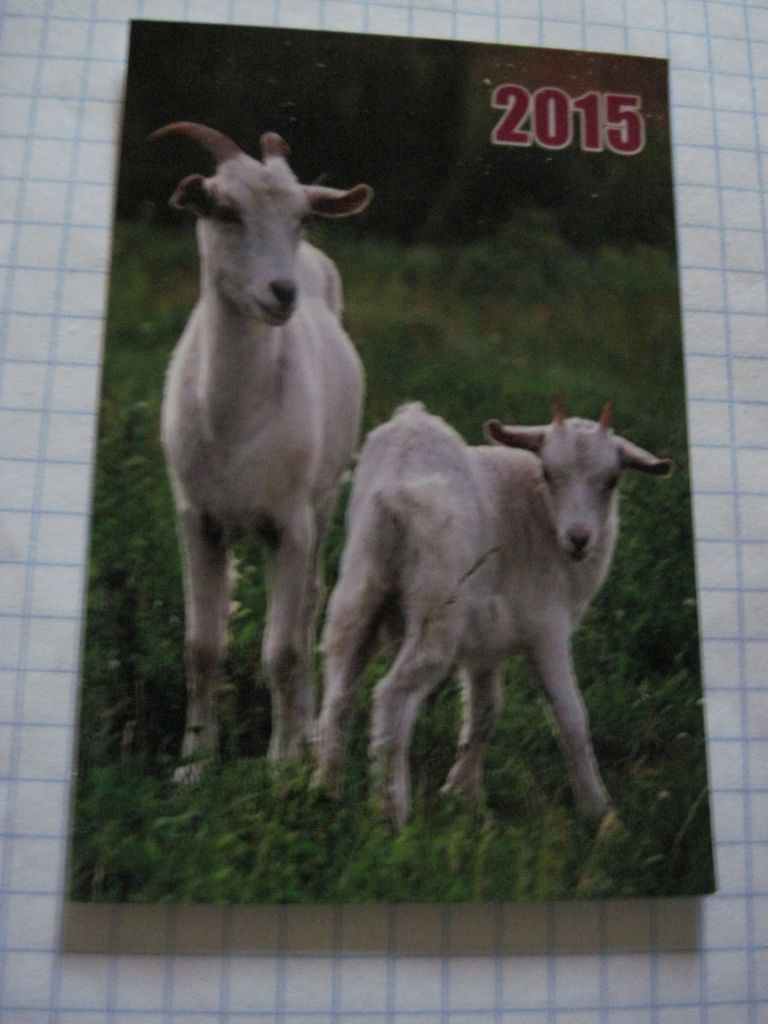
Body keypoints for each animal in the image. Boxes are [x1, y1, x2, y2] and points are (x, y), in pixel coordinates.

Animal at [151, 122, 372, 781]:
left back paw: (309, 732)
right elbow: (201, 646)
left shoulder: (289, 523)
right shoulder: (196, 519)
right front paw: (194, 763)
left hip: (323, 502)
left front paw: (281, 763)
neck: (236, 427)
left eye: (302, 217)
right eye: (224, 210)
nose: (282, 293)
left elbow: (283, 649)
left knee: (308, 613)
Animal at [313, 401, 673, 825]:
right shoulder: (545, 625)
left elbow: (486, 709)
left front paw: (461, 791)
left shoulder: (485, 640)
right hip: (438, 610)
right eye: (548, 473)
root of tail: (394, 491)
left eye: (612, 479)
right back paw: (393, 812)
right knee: (391, 696)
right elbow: (570, 715)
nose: (579, 539)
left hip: (359, 593)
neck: (536, 513)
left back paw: (324, 792)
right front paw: (598, 810)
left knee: (338, 694)